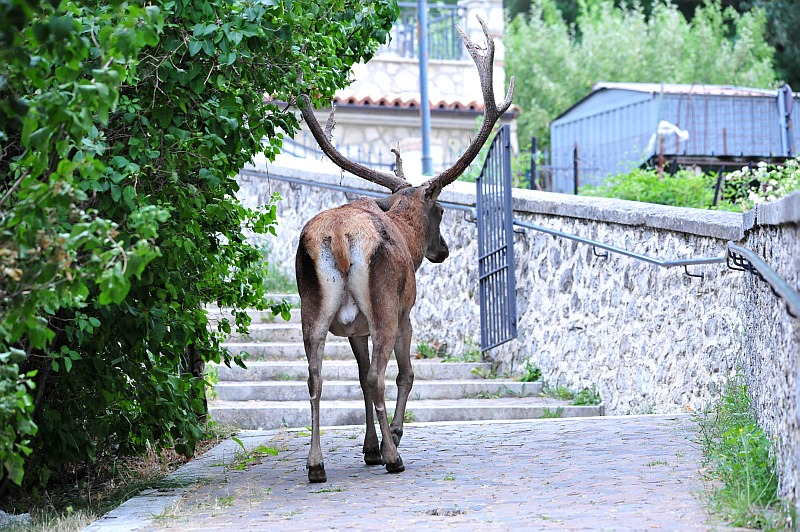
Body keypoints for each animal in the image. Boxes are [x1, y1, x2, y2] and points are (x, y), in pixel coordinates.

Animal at [294, 15, 512, 482]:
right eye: (441, 210)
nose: (443, 250)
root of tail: (339, 237)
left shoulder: (355, 328)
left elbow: (358, 376)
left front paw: (369, 448)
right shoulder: (406, 311)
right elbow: (404, 374)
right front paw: (390, 437)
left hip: (312, 308)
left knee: (316, 377)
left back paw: (316, 464)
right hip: (384, 305)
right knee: (382, 375)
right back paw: (395, 457)